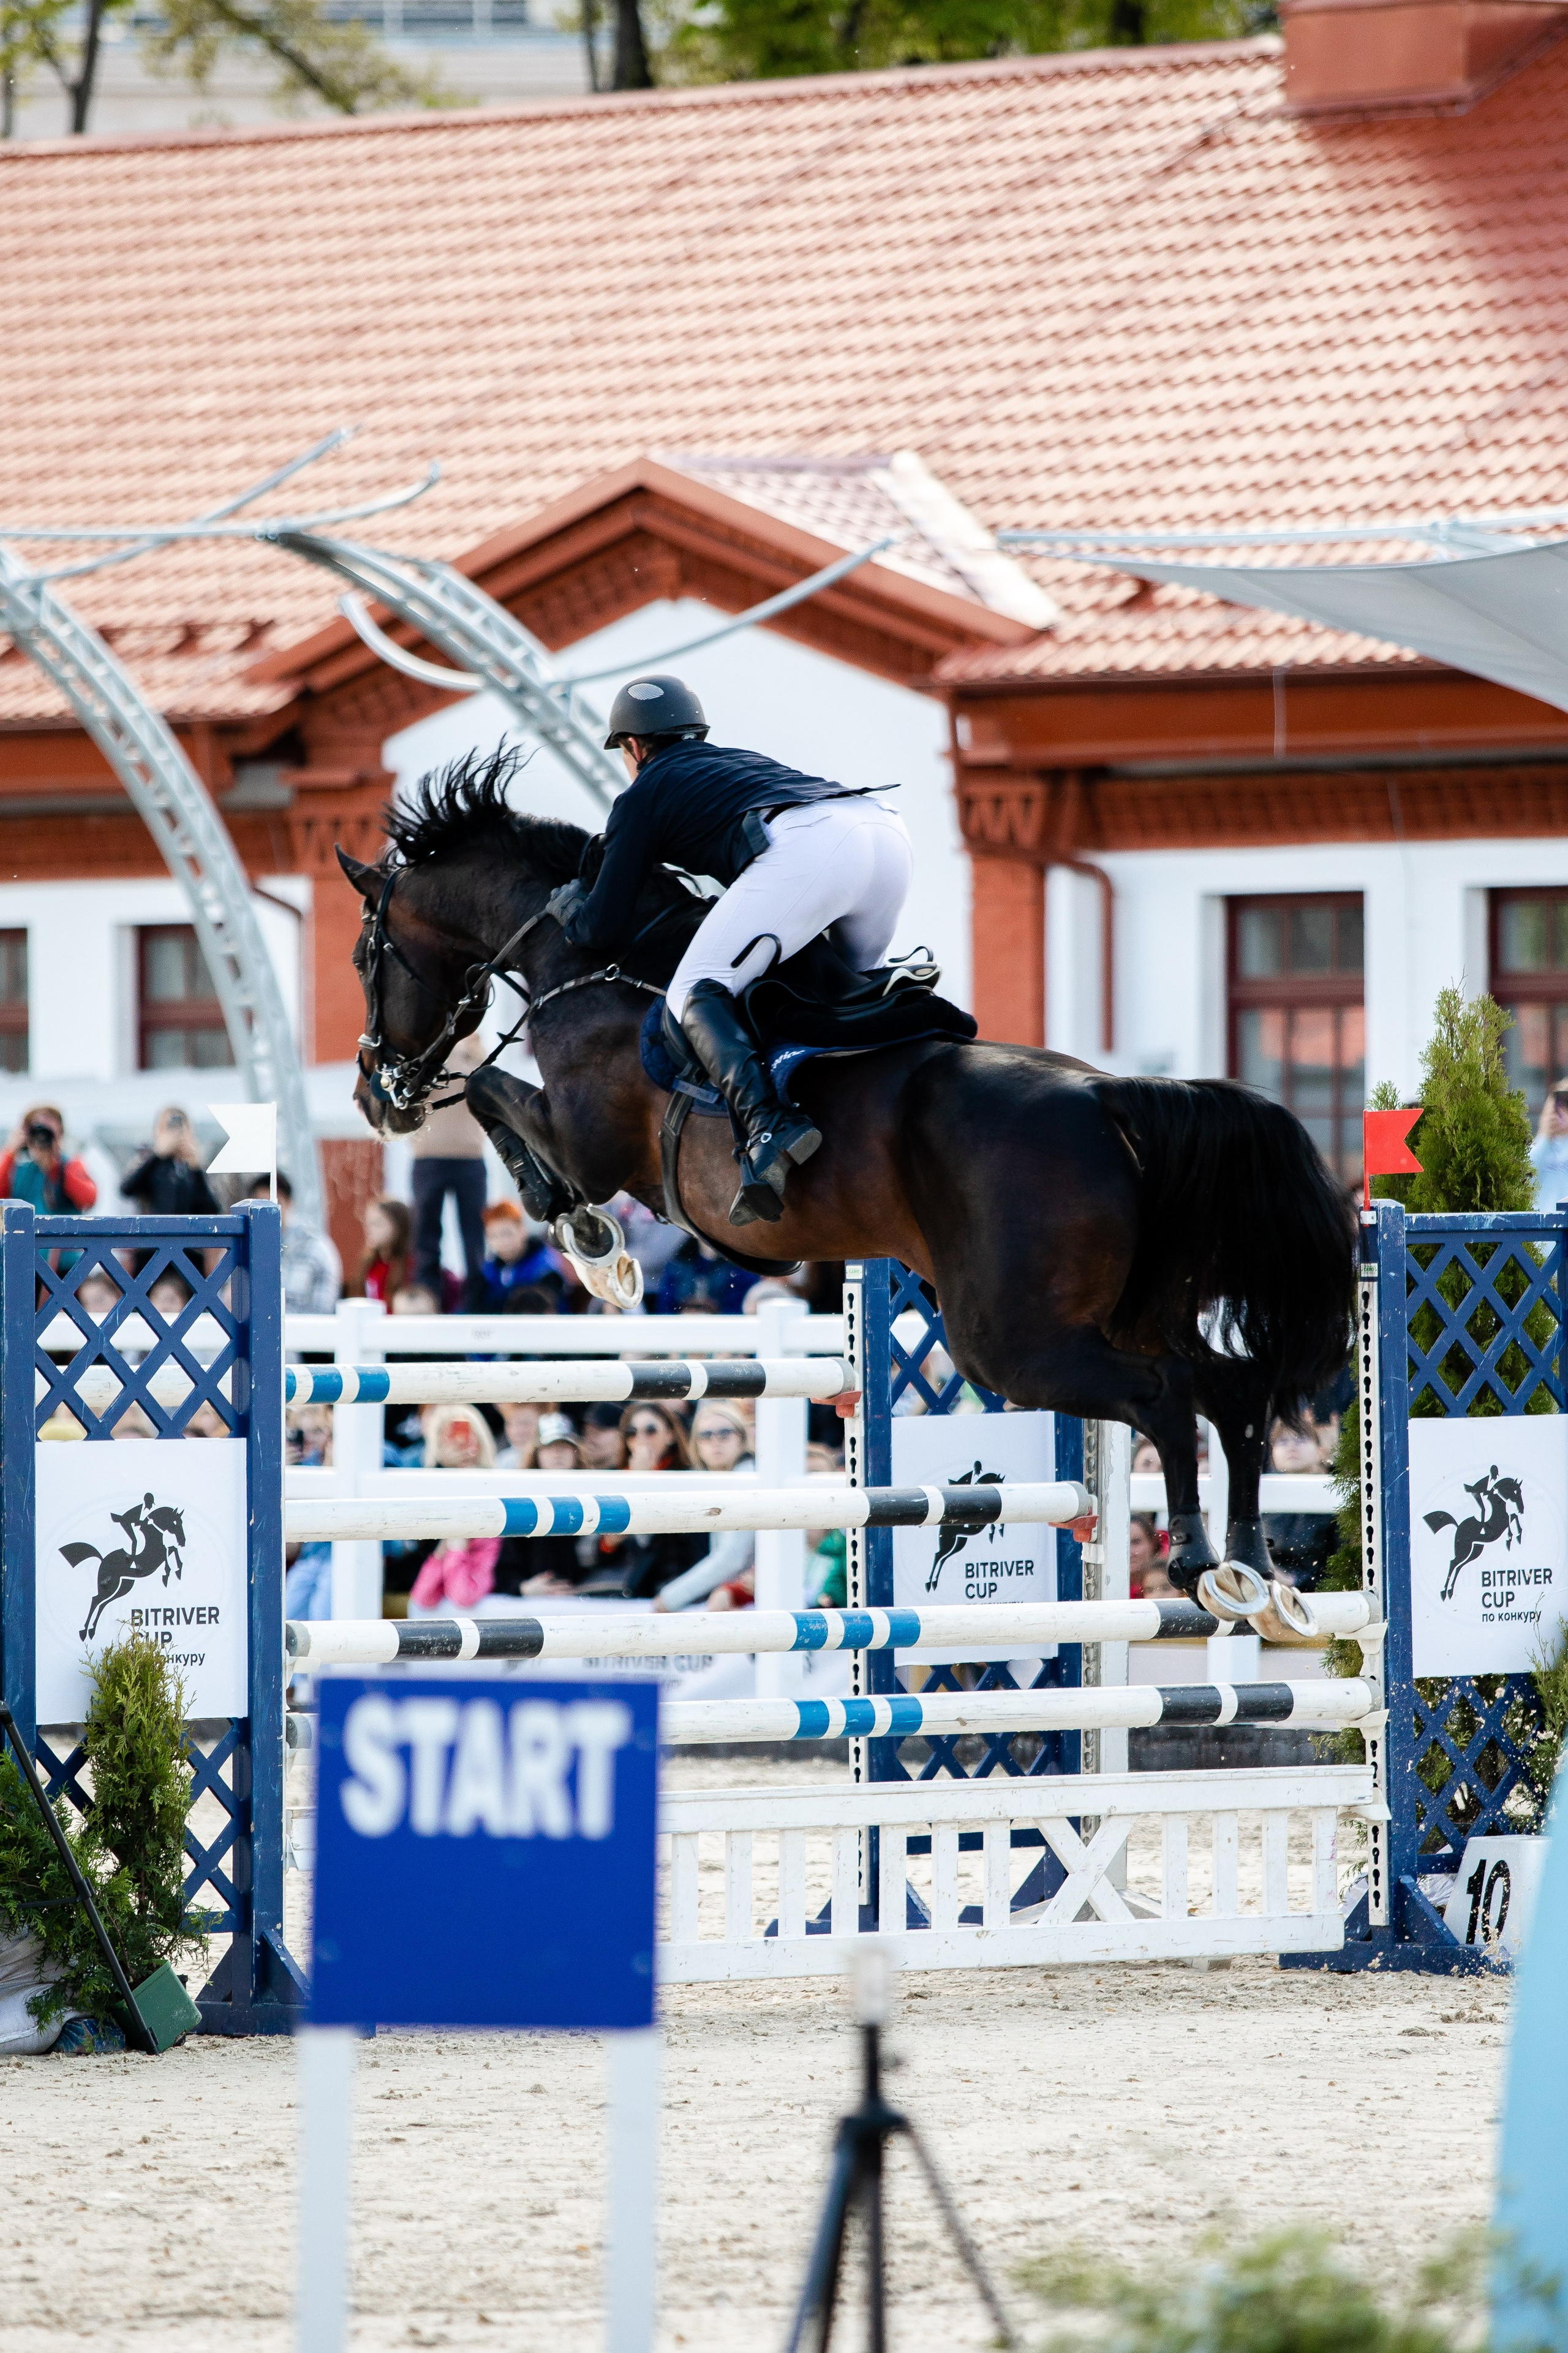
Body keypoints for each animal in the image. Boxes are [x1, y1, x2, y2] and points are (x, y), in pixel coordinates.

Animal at [65, 1493, 188, 1643]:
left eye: (181, 1523)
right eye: (176, 1523)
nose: (183, 1542)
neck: (155, 1533)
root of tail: (103, 1560)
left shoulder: (163, 1551)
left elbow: (172, 1550)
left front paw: (176, 1571)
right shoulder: (157, 1555)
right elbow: (170, 1552)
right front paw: (169, 1573)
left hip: (125, 1586)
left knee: (103, 1604)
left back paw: (91, 1631)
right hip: (111, 1586)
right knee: (96, 1600)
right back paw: (84, 1632)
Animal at [336, 751, 1356, 1601]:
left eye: (364, 955)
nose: (376, 1095)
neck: (589, 966)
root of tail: (1108, 1096)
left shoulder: (585, 1139)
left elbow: (492, 1098)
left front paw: (590, 1243)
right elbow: (492, 1094)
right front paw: (593, 1239)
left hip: (1010, 1340)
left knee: (1165, 1396)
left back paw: (1194, 1558)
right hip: (1124, 1307)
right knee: (1229, 1388)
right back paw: (1257, 1571)